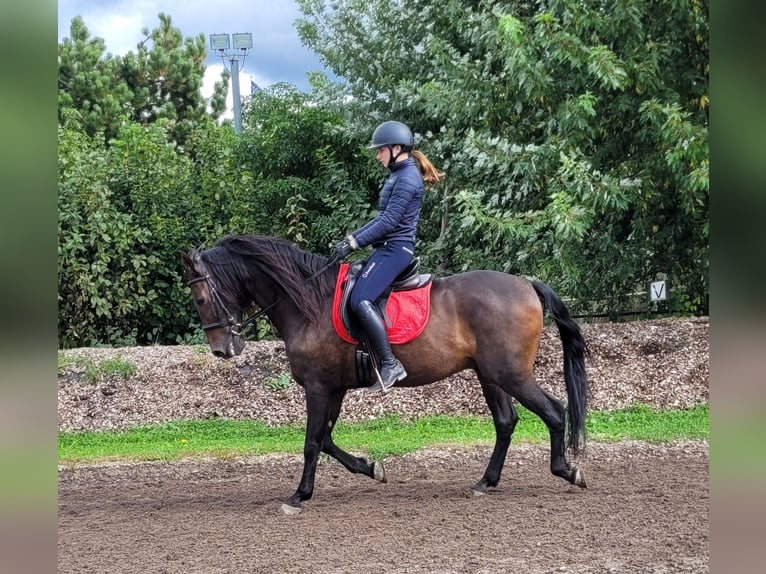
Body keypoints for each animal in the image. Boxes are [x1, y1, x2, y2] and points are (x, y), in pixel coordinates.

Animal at [183, 236, 592, 516]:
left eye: (200, 299)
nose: (221, 349)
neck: (310, 304)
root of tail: (527, 284)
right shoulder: (334, 388)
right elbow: (326, 439)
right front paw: (371, 468)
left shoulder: (318, 387)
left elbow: (312, 442)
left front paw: (299, 495)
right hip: (490, 375)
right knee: (506, 422)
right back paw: (486, 481)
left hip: (510, 374)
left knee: (554, 411)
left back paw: (568, 471)